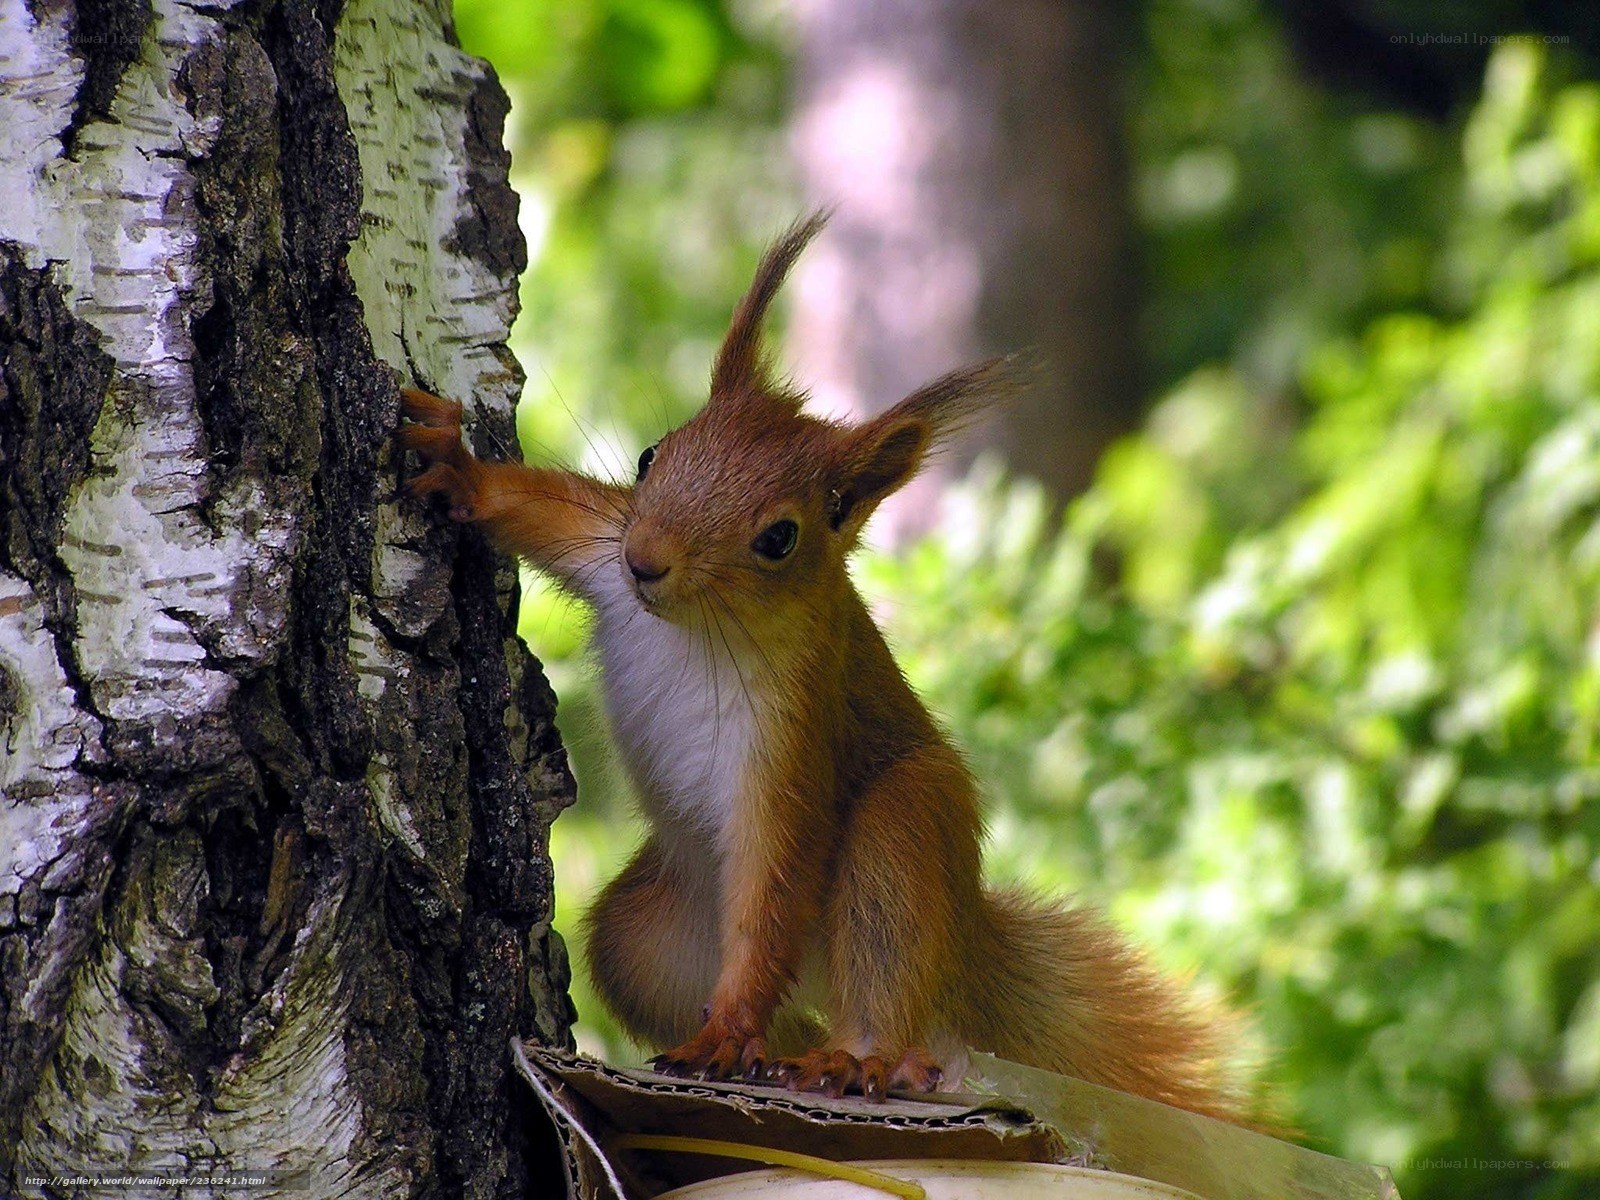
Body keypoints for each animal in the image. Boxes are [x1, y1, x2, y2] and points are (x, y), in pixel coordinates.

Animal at [399, 213, 1250, 1120]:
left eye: (780, 538)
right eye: (651, 456)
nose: (646, 561)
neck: (693, 628)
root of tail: (963, 947)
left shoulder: (795, 727)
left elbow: (775, 876)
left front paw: (729, 1028)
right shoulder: (602, 547)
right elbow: (542, 508)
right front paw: (459, 468)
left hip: (903, 835)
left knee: (879, 968)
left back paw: (858, 1059)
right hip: (647, 937)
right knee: (761, 1005)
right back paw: (775, 1057)